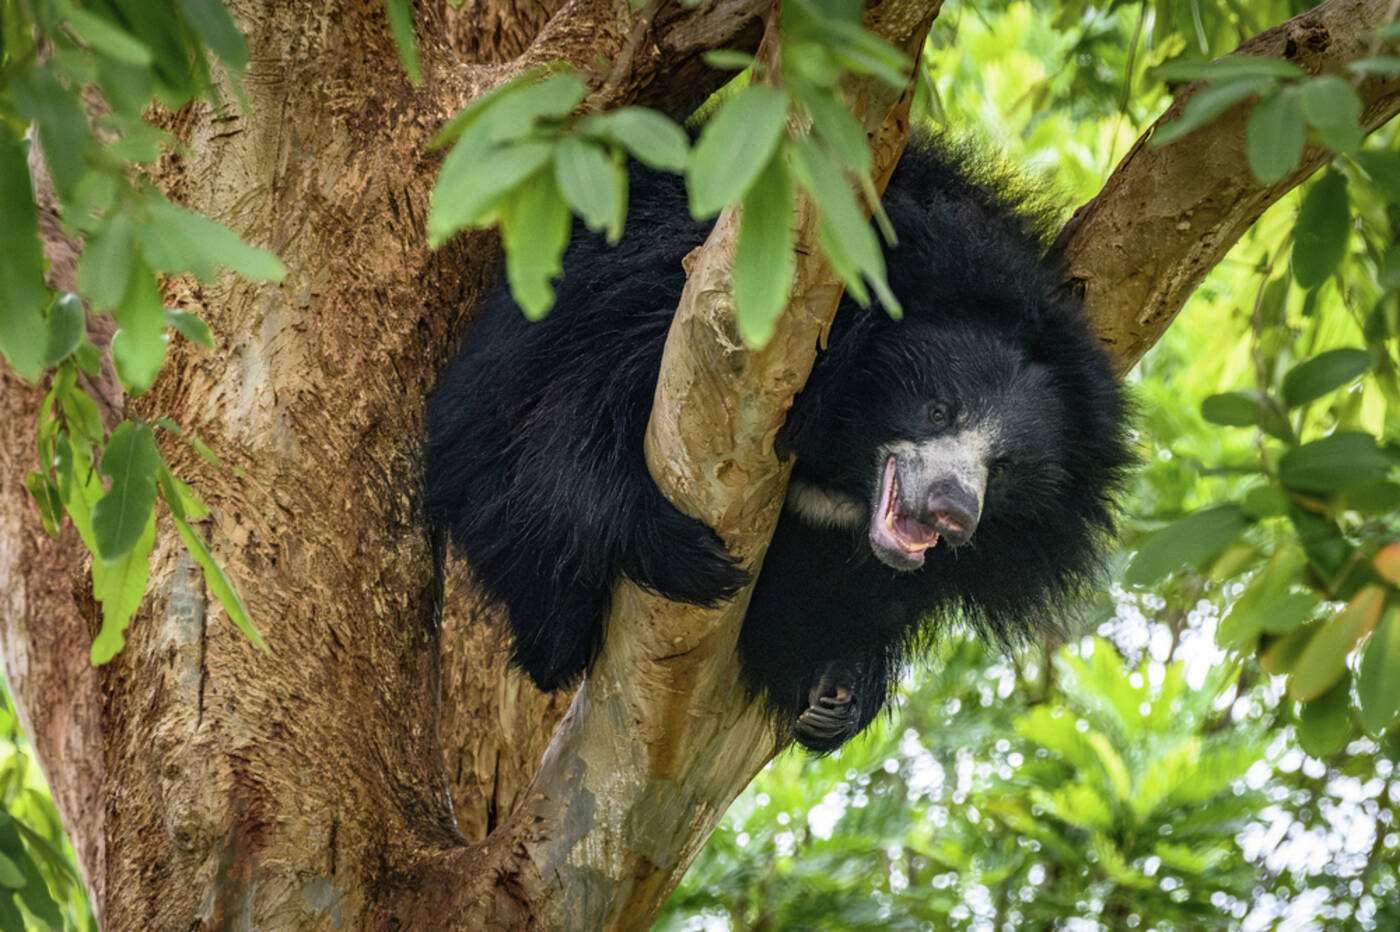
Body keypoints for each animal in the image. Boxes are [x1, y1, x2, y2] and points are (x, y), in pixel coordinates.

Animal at [425, 138, 1132, 752]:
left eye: (1004, 467)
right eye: (937, 409)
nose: (952, 511)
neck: (841, 451)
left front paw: (839, 692)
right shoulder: (674, 298)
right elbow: (577, 414)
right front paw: (683, 555)